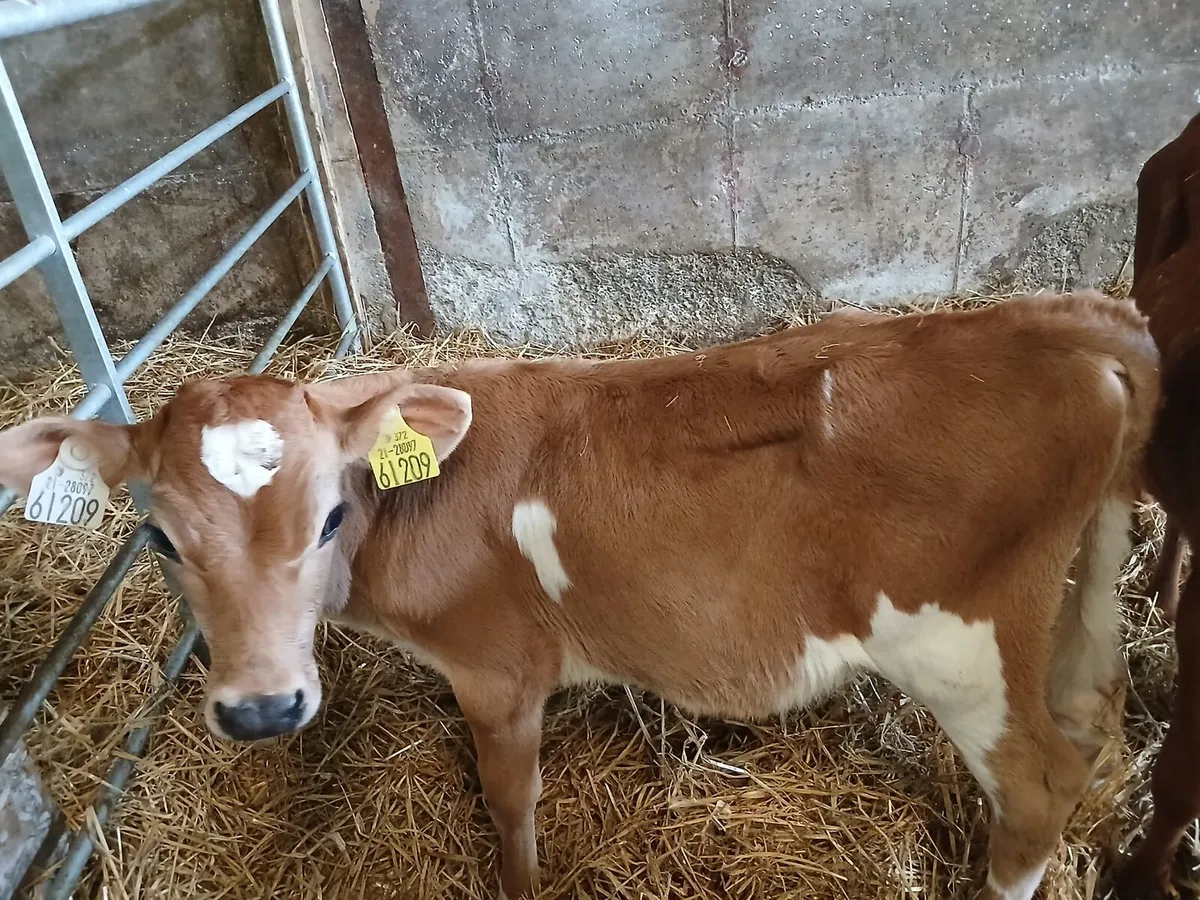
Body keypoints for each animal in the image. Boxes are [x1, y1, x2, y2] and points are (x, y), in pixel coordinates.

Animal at [0, 291, 1158, 900]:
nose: (260, 708)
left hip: (959, 646)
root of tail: (1056, 317)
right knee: (1092, 725)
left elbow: (510, 802)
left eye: (330, 516)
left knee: (1040, 784)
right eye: (158, 535)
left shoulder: (496, 669)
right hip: (1073, 607)